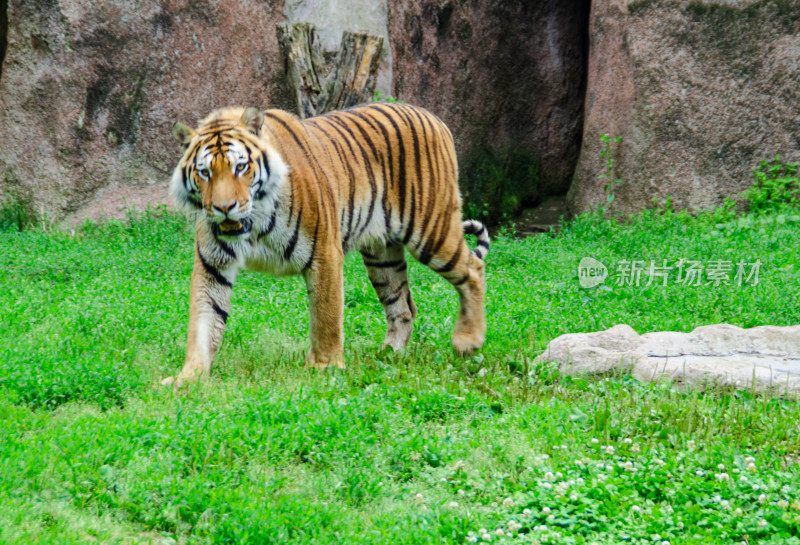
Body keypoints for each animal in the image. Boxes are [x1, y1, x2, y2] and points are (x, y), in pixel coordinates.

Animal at [160, 100, 490, 384]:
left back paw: (467, 342)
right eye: (205, 172)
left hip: (431, 229)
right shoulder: (213, 265)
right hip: (382, 256)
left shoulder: (324, 252)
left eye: (240, 167)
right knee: (403, 305)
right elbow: (203, 322)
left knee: (473, 269)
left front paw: (324, 367)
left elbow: (326, 316)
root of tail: (434, 118)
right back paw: (388, 355)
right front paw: (188, 378)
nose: (224, 207)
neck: (254, 224)